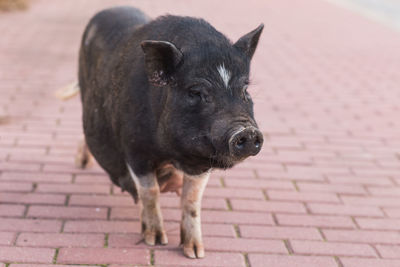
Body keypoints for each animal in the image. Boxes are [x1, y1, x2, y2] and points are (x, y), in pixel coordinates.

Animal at [78, 6, 264, 260]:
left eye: (245, 90)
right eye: (196, 92)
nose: (247, 131)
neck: (174, 155)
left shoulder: (201, 161)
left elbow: (191, 200)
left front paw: (195, 253)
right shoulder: (135, 149)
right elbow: (150, 192)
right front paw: (155, 241)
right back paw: (81, 164)